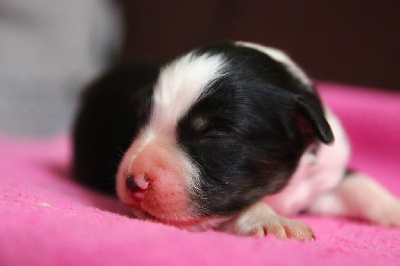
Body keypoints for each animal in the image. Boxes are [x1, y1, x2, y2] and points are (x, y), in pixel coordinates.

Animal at [72, 41, 400, 241]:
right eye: (140, 118)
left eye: (214, 135)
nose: (133, 182)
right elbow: (242, 205)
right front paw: (274, 221)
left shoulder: (327, 172)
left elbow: (360, 184)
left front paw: (394, 209)